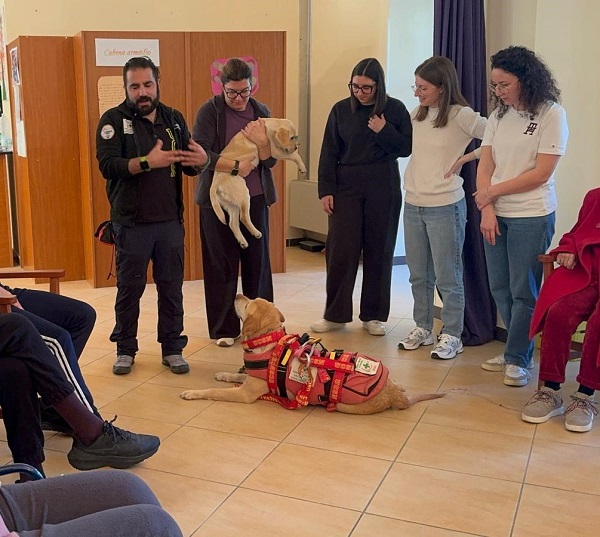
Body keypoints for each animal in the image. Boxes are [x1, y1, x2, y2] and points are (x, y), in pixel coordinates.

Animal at [180, 294, 442, 414]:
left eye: (248, 304)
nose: (236, 295)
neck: (269, 341)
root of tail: (395, 395)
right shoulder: (254, 379)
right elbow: (238, 375)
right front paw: (224, 375)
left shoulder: (246, 394)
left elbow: (214, 391)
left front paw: (192, 392)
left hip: (346, 405)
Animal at [211, 118, 308, 248]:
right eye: (292, 137)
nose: (296, 147)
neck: (269, 127)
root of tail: (215, 183)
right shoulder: (274, 151)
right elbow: (294, 156)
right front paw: (302, 167)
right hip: (243, 194)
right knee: (244, 217)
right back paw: (256, 233)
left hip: (231, 204)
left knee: (233, 223)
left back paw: (243, 241)